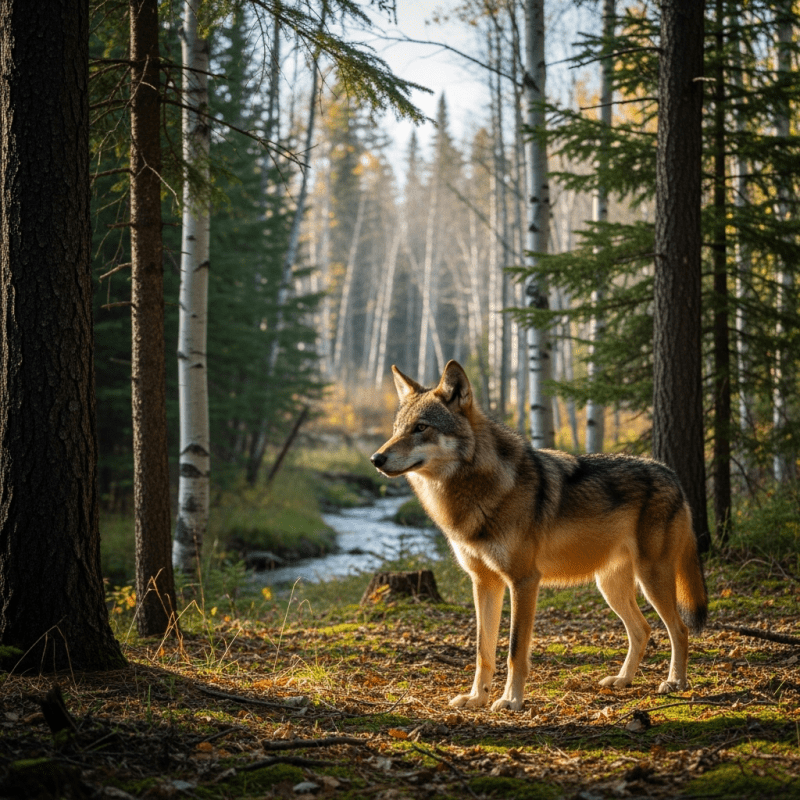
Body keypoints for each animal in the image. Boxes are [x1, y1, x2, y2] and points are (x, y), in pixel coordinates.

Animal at [370, 360, 707, 712]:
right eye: (397, 428)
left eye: (421, 428)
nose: (376, 459)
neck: (477, 489)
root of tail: (672, 475)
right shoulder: (484, 583)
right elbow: (482, 651)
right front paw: (477, 697)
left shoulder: (524, 581)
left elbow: (514, 650)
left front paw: (510, 700)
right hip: (610, 586)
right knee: (642, 630)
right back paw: (622, 680)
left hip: (651, 579)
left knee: (680, 629)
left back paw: (675, 683)